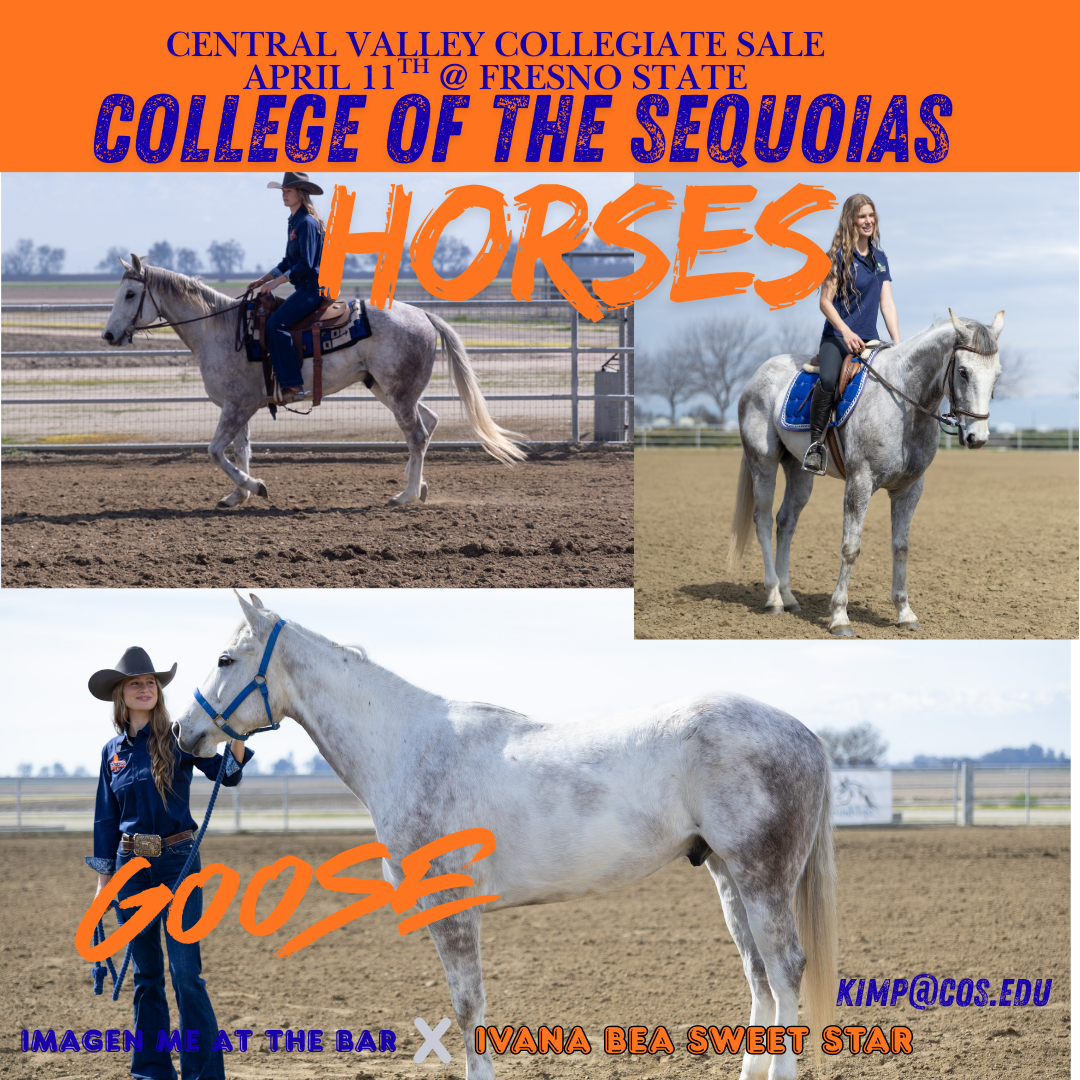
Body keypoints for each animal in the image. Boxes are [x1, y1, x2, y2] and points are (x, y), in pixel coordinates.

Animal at [101, 255, 525, 509]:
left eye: (131, 293)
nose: (108, 335)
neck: (219, 329)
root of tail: (423, 315)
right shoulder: (240, 407)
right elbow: (239, 450)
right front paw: (237, 495)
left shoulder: (237, 406)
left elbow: (216, 451)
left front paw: (255, 487)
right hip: (386, 388)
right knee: (429, 422)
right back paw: (416, 486)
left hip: (398, 392)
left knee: (417, 434)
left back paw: (403, 495)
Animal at [175, 593, 838, 1080]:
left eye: (227, 659)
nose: (184, 732)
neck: (408, 748)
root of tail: (804, 733)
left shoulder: (452, 908)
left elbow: (469, 1007)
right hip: (728, 877)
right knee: (760, 978)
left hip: (762, 878)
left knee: (784, 972)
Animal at [728, 311, 1003, 636]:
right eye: (963, 372)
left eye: (997, 375)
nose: (978, 437)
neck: (904, 403)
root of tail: (757, 375)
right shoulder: (859, 483)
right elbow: (851, 547)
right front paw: (839, 617)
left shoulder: (910, 489)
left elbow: (901, 547)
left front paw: (905, 613)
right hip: (763, 462)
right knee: (764, 521)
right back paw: (773, 598)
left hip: (798, 470)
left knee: (786, 522)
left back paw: (789, 597)